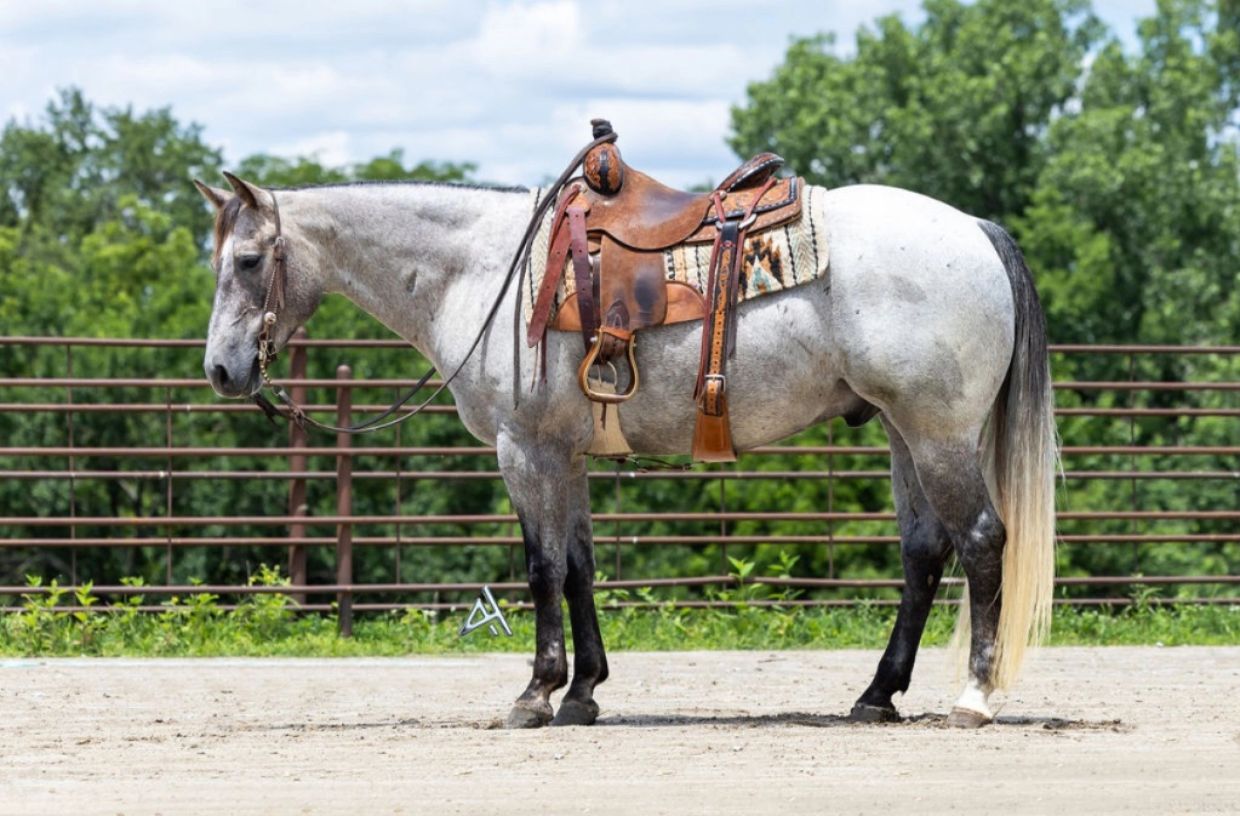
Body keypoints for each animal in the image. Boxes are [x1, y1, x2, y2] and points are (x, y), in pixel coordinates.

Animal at [193, 169, 1056, 729]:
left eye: (248, 260)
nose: (222, 370)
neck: (481, 271)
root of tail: (977, 230)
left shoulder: (524, 450)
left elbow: (541, 568)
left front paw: (535, 694)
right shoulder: (565, 454)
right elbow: (578, 567)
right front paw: (584, 693)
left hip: (938, 432)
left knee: (982, 541)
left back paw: (974, 699)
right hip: (902, 431)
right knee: (924, 552)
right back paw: (877, 696)